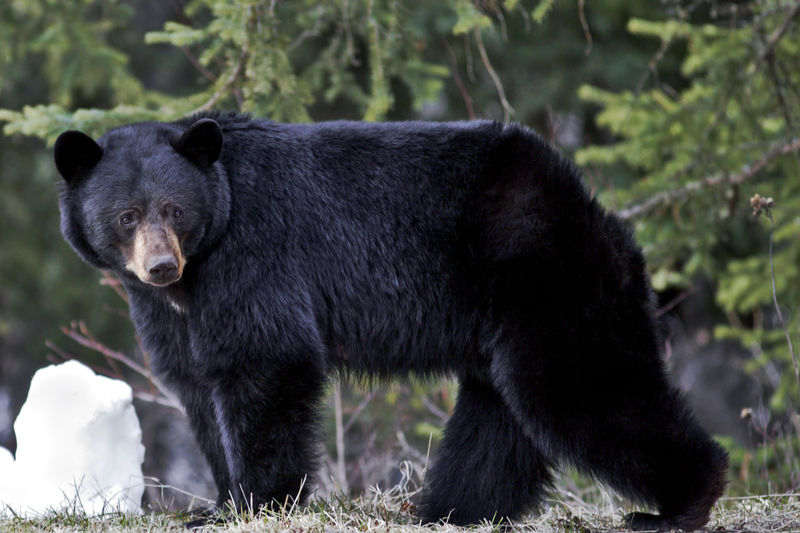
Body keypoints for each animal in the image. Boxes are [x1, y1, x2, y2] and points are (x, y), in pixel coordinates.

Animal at [53, 112, 728, 531]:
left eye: (173, 209)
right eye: (125, 216)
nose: (161, 265)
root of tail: (594, 211)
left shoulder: (255, 256)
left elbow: (267, 358)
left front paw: (254, 501)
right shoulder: (169, 310)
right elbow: (195, 380)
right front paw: (219, 498)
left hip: (549, 286)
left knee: (583, 387)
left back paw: (678, 505)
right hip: (503, 319)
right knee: (498, 418)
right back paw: (452, 509)